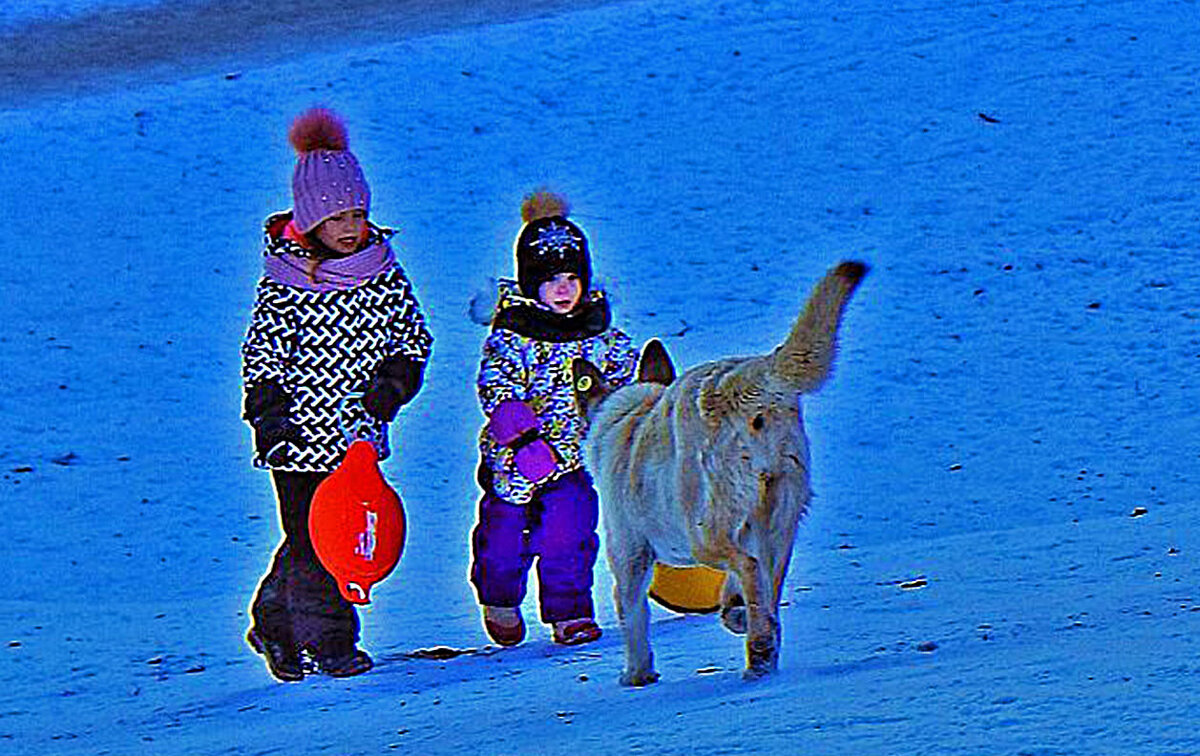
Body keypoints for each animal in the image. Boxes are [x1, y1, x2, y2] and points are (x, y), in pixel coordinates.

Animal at [576, 261, 868, 686]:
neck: (626, 417)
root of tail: (738, 380)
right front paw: (736, 612)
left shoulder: (629, 554)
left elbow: (632, 616)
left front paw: (637, 674)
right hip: (778, 518)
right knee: (766, 581)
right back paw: (759, 643)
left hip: (704, 532)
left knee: (749, 568)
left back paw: (758, 650)